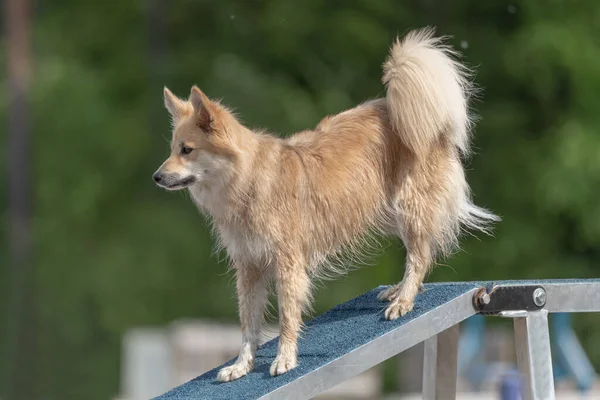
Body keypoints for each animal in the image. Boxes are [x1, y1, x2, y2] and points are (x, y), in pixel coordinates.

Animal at [154, 27, 496, 382]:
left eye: (187, 150)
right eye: (173, 149)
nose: (156, 176)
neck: (246, 182)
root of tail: (395, 106)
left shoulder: (287, 264)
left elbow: (287, 317)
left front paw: (285, 358)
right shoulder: (249, 268)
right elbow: (248, 325)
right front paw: (241, 365)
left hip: (410, 205)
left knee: (420, 254)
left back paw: (403, 299)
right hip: (386, 210)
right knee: (420, 250)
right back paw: (399, 290)